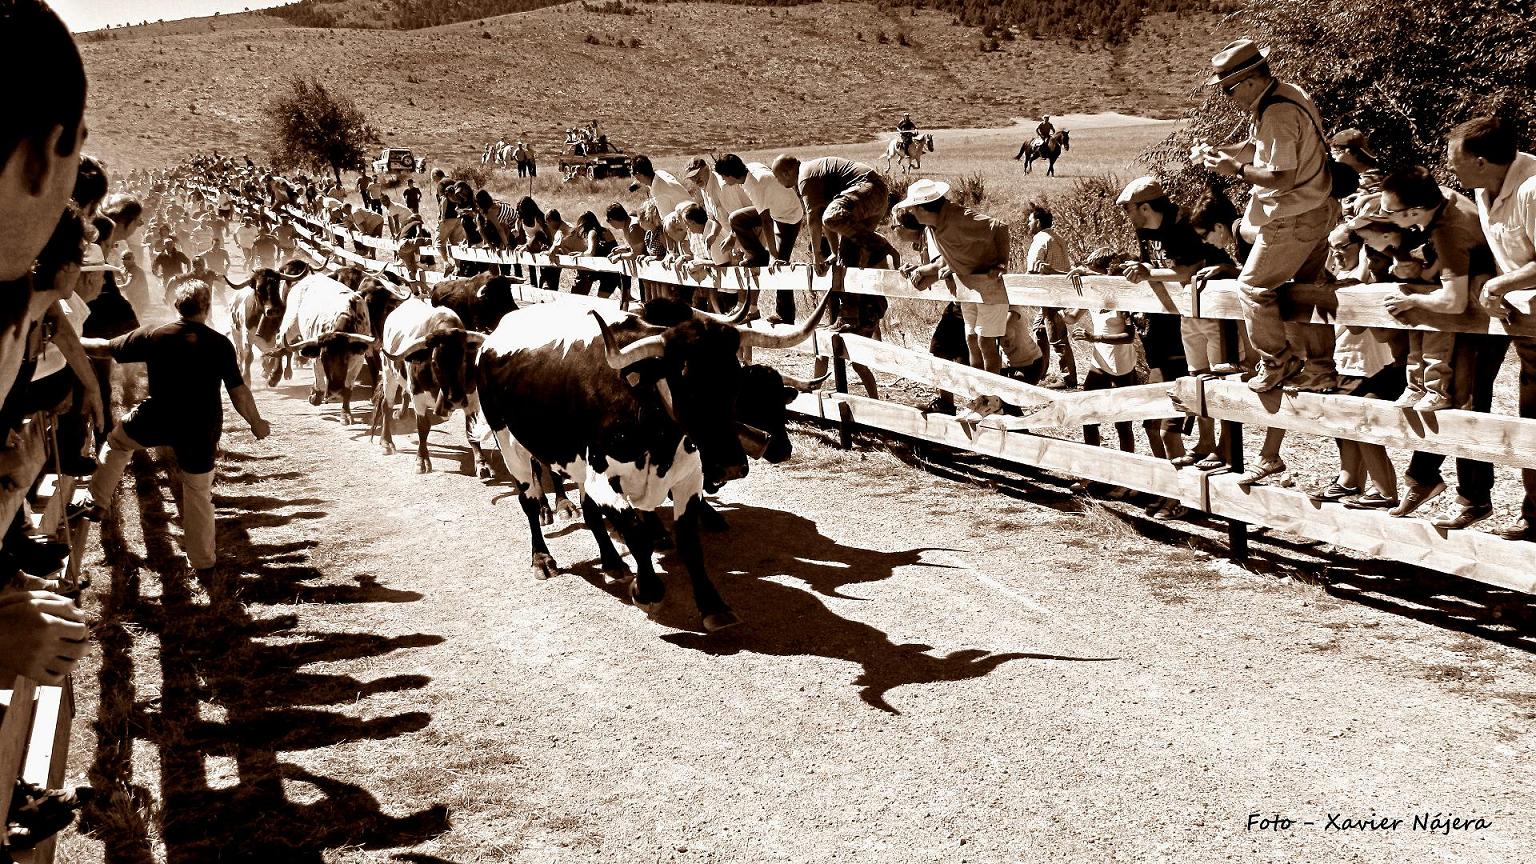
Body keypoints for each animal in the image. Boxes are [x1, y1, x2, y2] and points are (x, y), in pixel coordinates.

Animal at [371, 295, 479, 470]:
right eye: (434, 362)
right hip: (389, 374)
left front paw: (483, 465)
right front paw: (422, 460)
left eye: (465, 359)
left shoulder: (472, 397)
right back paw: (387, 442)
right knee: (386, 406)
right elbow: (423, 427)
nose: (455, 400)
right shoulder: (418, 397)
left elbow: (472, 430)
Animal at [479, 285, 835, 630]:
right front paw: (647, 590)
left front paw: (712, 605)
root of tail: (495, 334)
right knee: (529, 500)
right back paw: (543, 557)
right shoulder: (603, 479)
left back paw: (611, 561)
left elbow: (689, 542)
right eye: (685, 382)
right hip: (510, 443)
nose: (731, 465)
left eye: (734, 382)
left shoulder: (687, 477)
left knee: (590, 512)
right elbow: (636, 531)